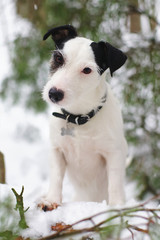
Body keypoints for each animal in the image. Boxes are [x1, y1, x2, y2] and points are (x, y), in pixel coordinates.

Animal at [40, 25, 128, 211]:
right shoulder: (57, 150)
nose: (54, 93)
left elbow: (115, 183)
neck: (78, 117)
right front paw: (51, 200)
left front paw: (117, 207)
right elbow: (56, 177)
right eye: (58, 58)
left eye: (87, 70)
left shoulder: (114, 153)